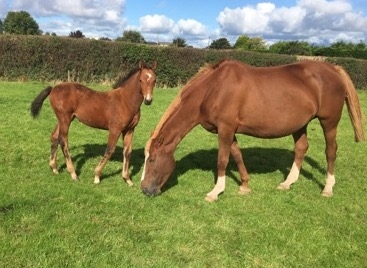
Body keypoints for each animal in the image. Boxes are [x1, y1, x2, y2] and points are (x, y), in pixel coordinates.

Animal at [141, 58, 366, 201]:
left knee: (331, 151)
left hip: (329, 121)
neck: (213, 89)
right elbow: (236, 155)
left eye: (152, 160)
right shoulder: (228, 130)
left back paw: (327, 188)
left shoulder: (226, 129)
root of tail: (333, 69)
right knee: (302, 148)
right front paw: (244, 186)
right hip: (300, 124)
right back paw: (288, 183)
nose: (145, 190)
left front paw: (216, 192)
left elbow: (222, 160)